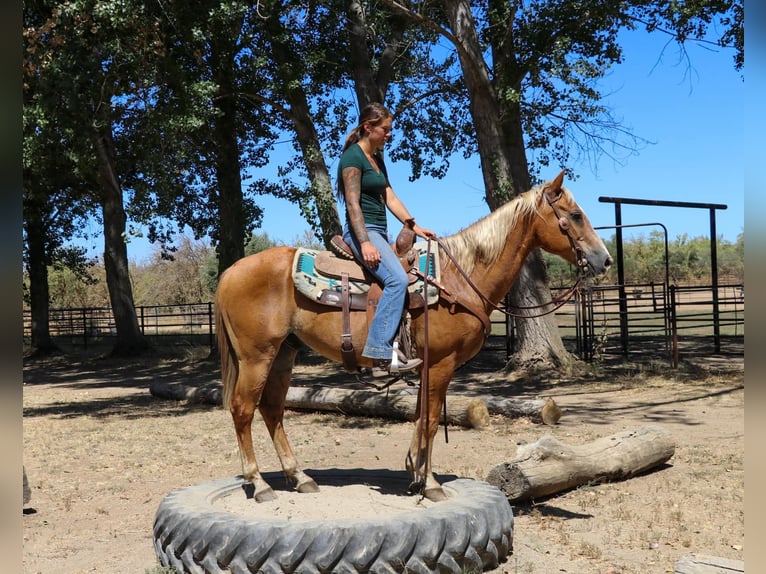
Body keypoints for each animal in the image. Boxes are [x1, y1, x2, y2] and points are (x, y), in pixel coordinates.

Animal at [214, 170, 613, 502]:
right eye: (575, 215)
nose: (605, 259)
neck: (459, 277)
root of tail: (231, 272)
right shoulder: (440, 364)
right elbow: (432, 420)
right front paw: (431, 484)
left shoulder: (426, 366)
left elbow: (421, 417)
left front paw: (415, 474)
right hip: (256, 356)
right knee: (243, 409)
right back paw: (260, 485)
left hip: (284, 353)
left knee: (272, 410)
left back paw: (300, 477)